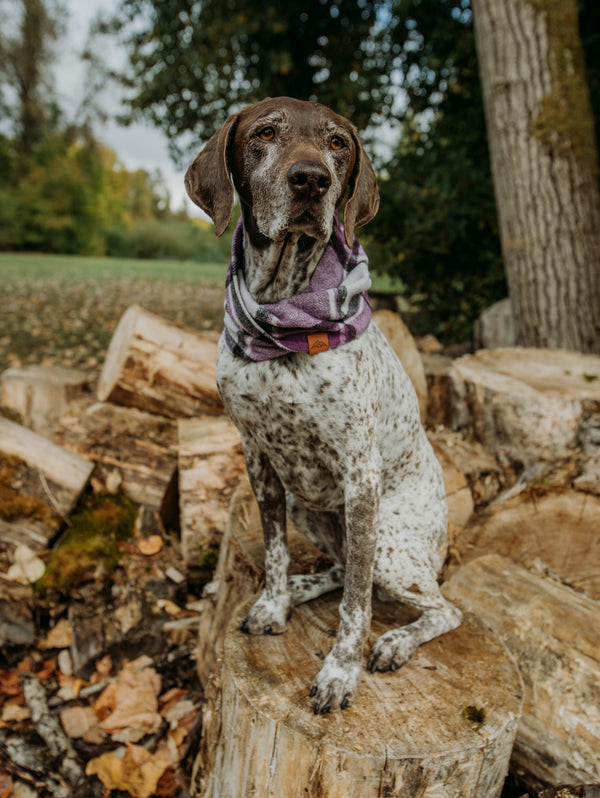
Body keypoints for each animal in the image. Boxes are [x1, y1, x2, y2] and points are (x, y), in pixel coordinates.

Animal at [185, 97, 462, 716]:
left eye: (338, 142)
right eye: (266, 132)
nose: (311, 180)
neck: (285, 318)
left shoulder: (360, 475)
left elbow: (357, 604)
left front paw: (341, 670)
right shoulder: (259, 456)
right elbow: (275, 550)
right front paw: (273, 602)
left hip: (388, 540)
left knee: (441, 607)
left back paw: (395, 641)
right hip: (311, 507)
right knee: (342, 567)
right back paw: (300, 590)